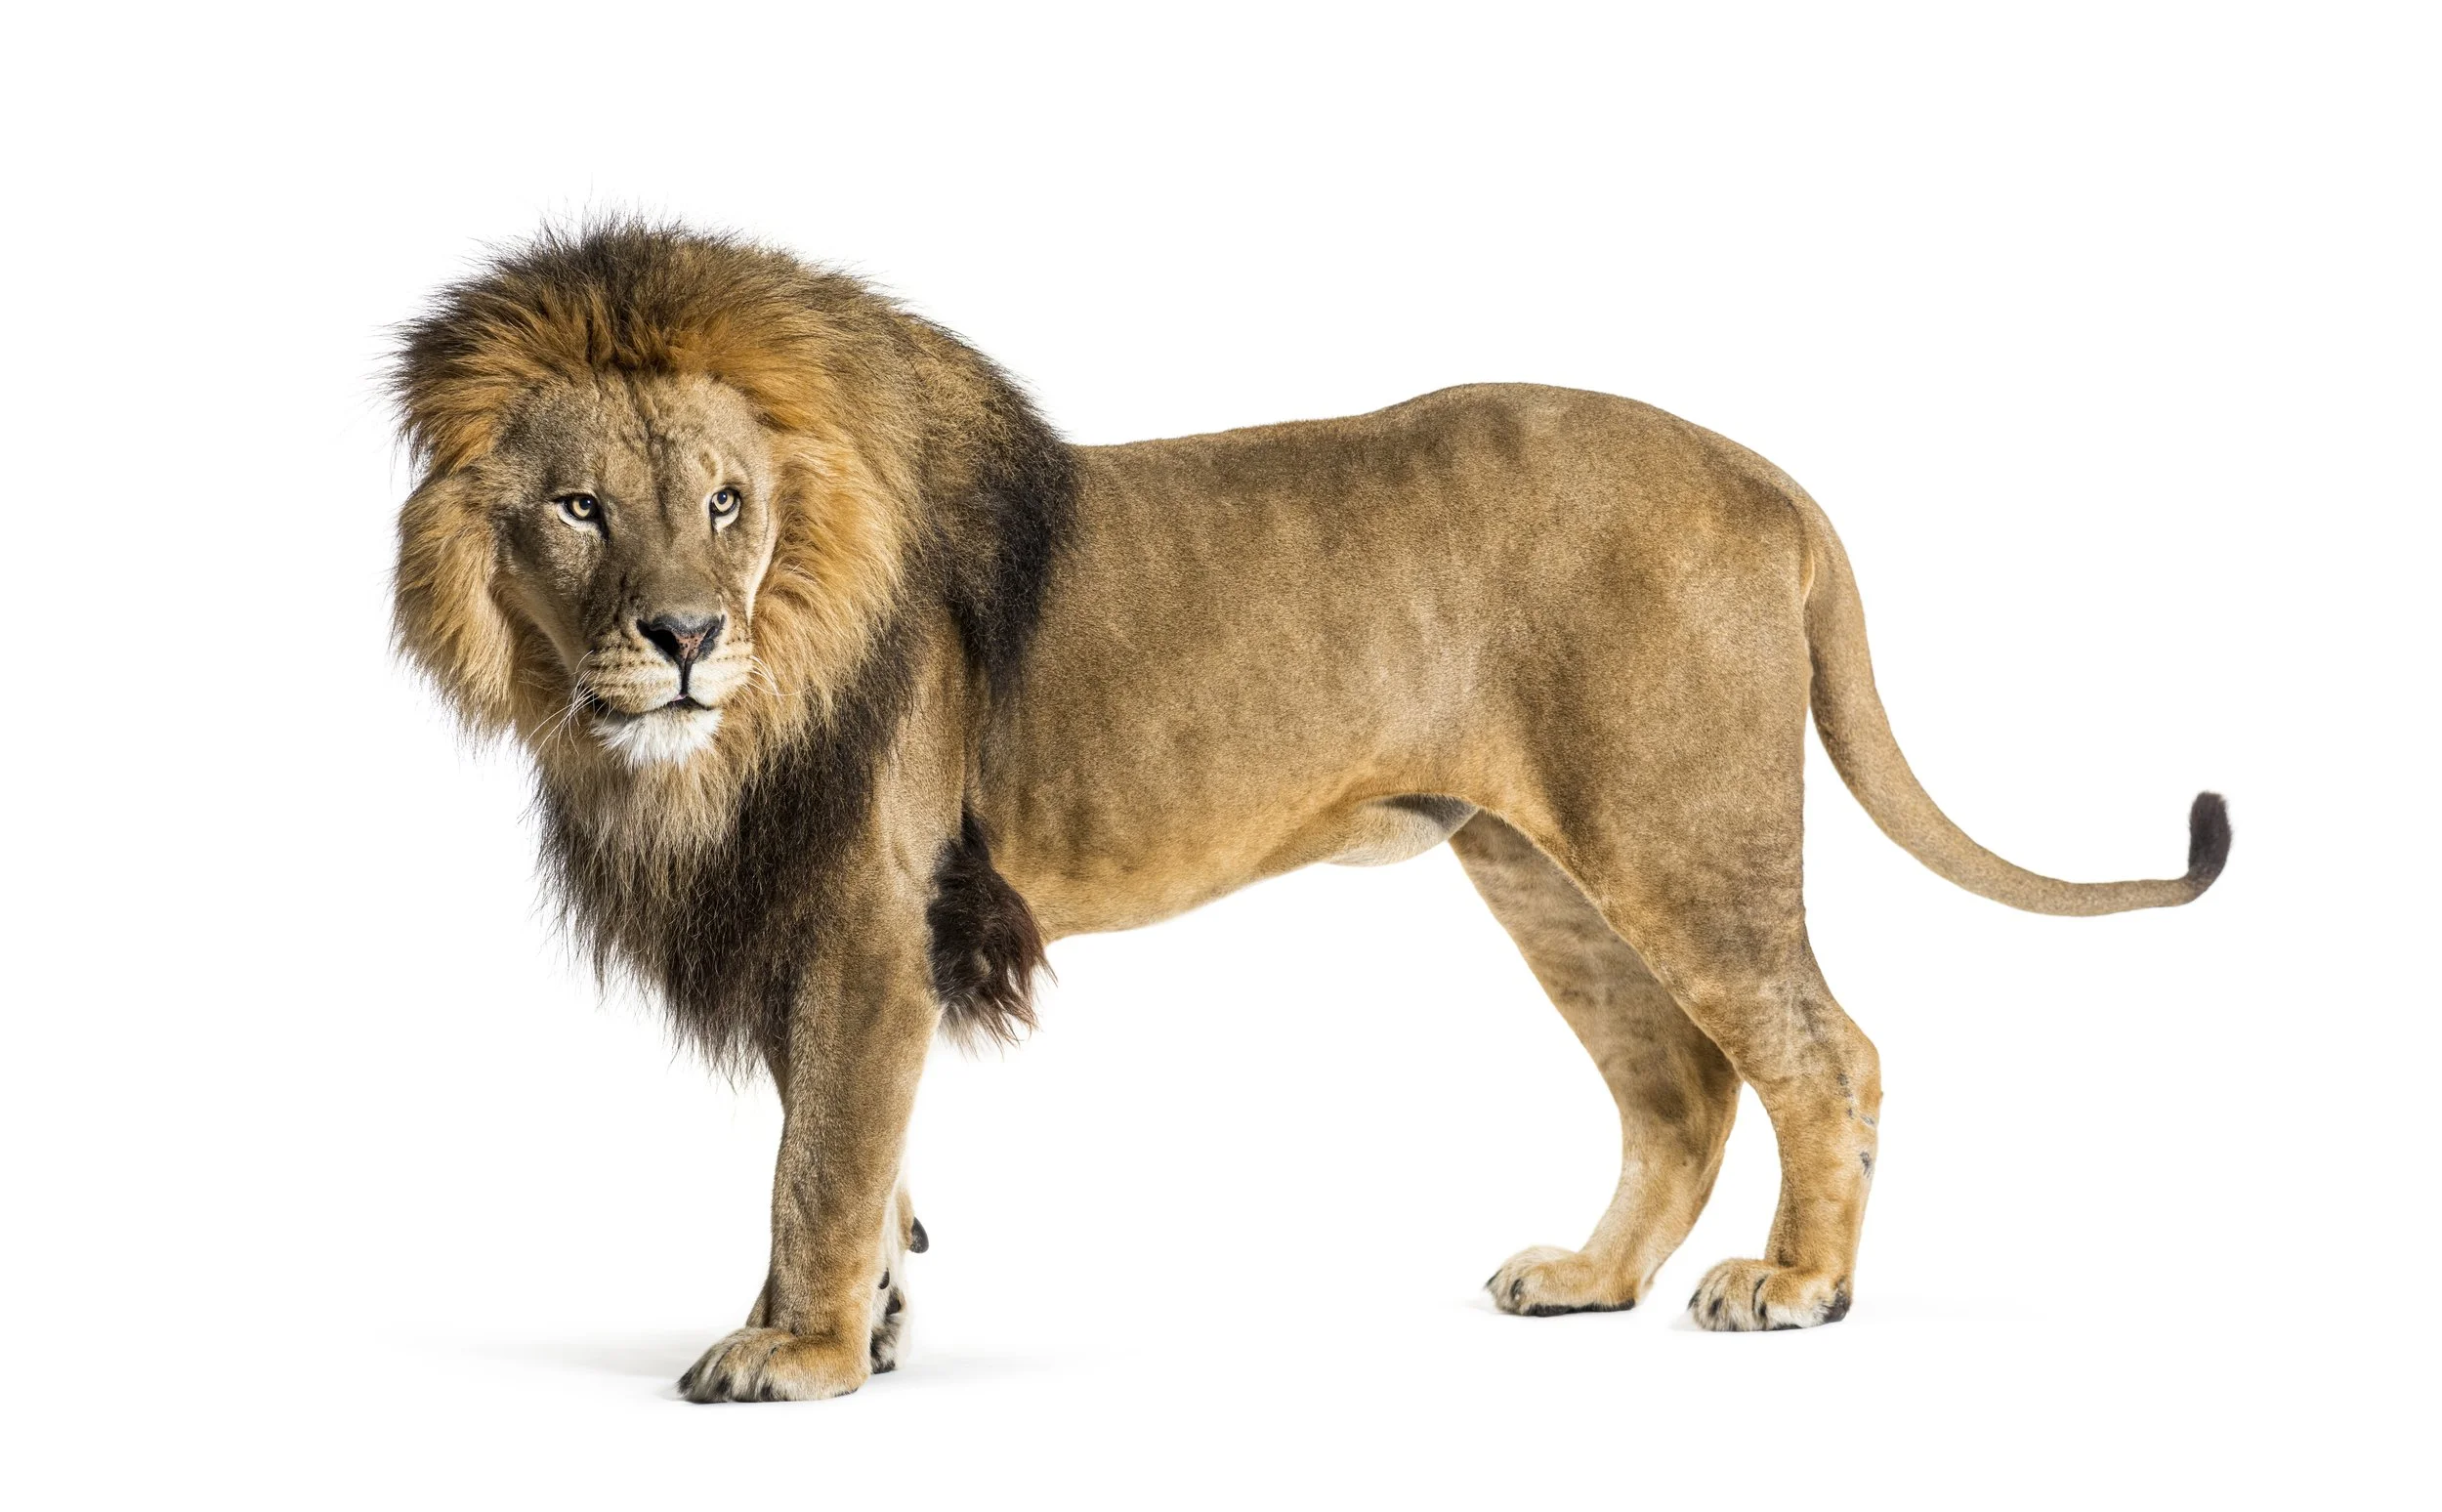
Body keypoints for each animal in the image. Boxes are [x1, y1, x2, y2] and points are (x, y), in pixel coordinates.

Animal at [390, 221, 2227, 1402]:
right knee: (1683, 1081)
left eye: (724, 503)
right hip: (1537, 865)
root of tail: (1766, 473)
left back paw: (1799, 1286)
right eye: (579, 508)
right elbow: (846, 1148)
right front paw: (871, 1320)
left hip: (1677, 833)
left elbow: (820, 1157)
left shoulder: (868, 914)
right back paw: (1589, 1279)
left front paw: (805, 1355)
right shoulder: (825, 924)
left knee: (1824, 1049)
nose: (685, 638)